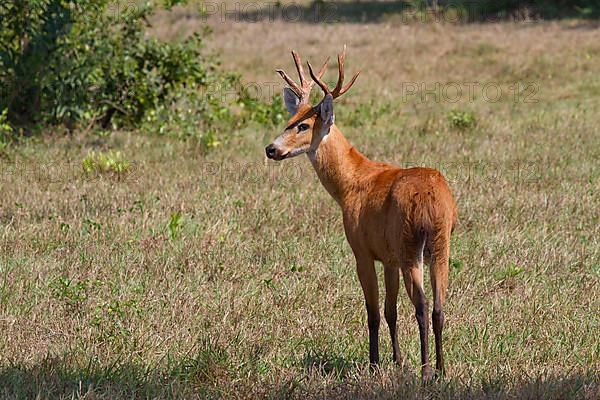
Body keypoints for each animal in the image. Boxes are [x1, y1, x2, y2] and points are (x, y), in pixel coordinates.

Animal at [264, 47, 458, 382]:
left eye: (303, 126)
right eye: (289, 120)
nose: (271, 149)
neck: (350, 184)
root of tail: (430, 203)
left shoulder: (362, 251)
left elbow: (373, 312)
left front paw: (375, 364)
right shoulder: (389, 258)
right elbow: (391, 311)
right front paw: (397, 361)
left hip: (409, 245)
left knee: (422, 305)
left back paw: (424, 371)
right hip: (439, 245)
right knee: (439, 307)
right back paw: (440, 369)